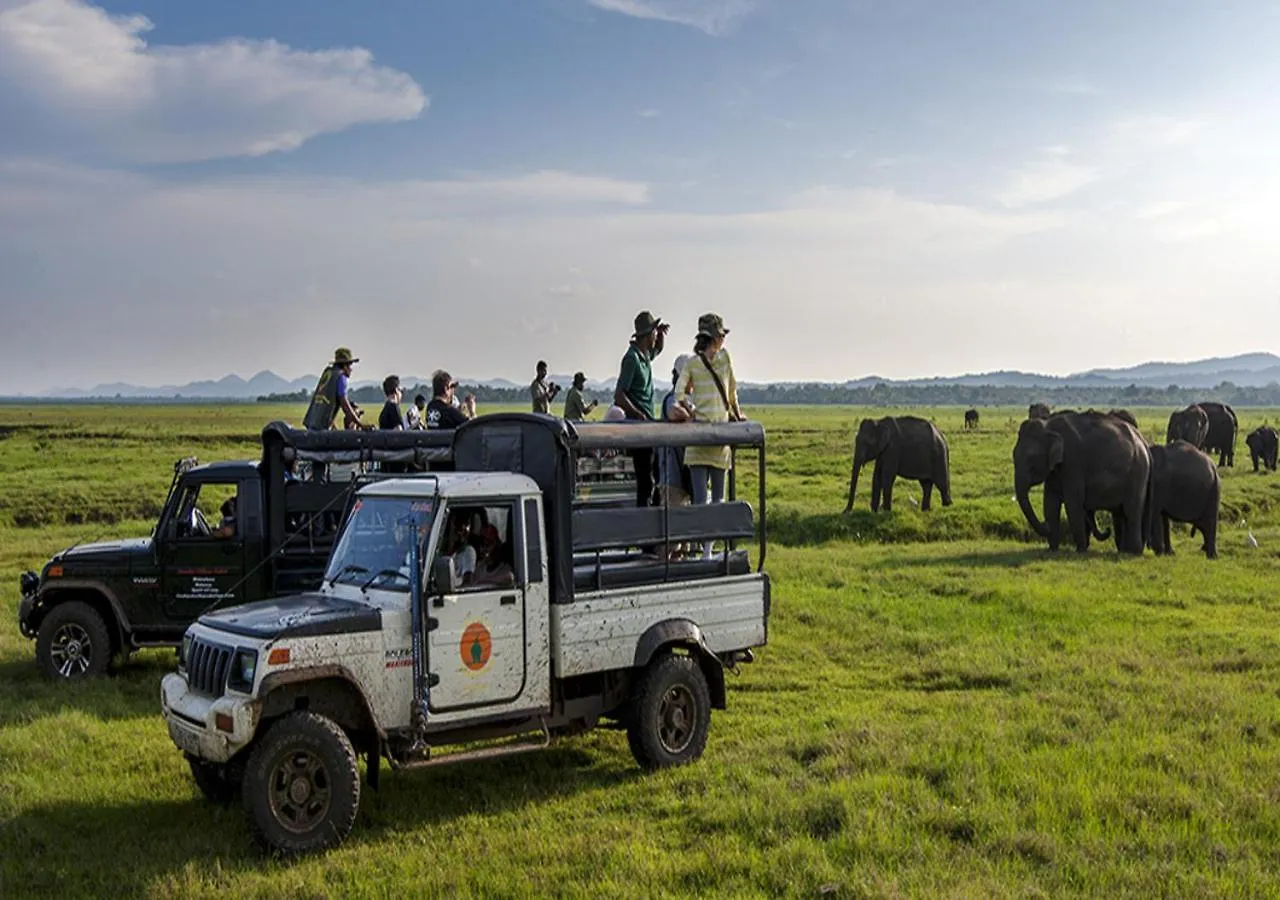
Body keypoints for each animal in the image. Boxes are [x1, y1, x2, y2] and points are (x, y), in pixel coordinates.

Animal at [1013, 409, 1157, 553]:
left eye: (1031, 460)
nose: (1045, 525)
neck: (1048, 424)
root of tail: (1143, 441)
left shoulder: (1073, 461)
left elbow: (1073, 502)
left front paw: (1080, 550)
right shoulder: (1056, 469)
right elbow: (1050, 502)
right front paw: (1052, 549)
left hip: (1138, 473)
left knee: (1132, 511)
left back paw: (1133, 551)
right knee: (1124, 512)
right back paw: (1126, 550)